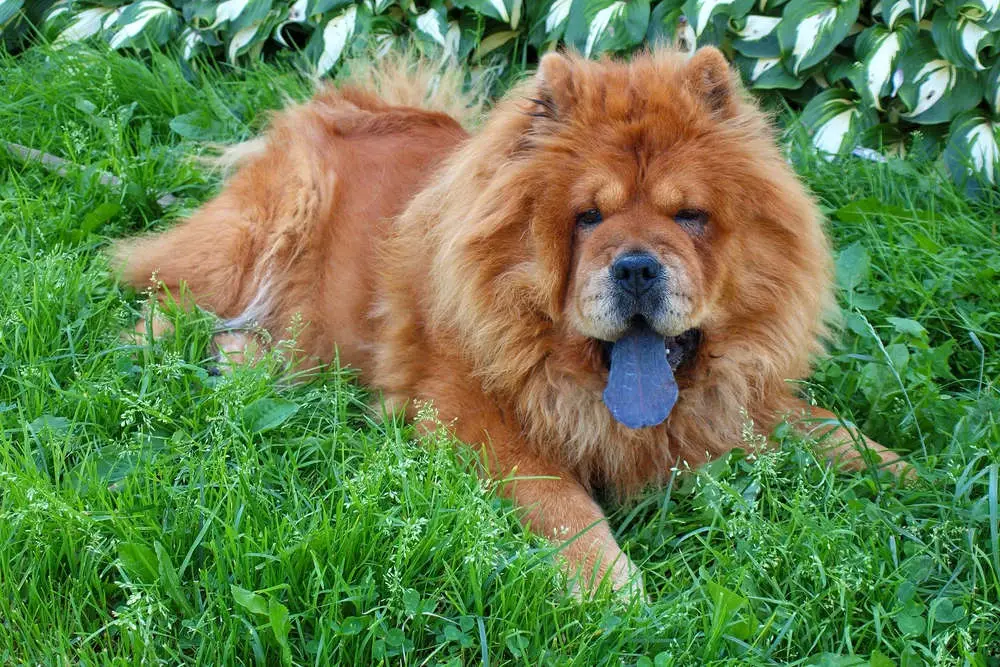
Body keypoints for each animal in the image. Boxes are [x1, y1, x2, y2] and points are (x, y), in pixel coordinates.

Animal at [111, 48, 908, 600]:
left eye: (689, 216)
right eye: (587, 217)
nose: (637, 267)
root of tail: (345, 104)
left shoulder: (743, 397)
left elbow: (827, 426)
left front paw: (910, 475)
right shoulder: (465, 409)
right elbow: (562, 499)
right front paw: (613, 586)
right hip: (261, 234)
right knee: (162, 291)